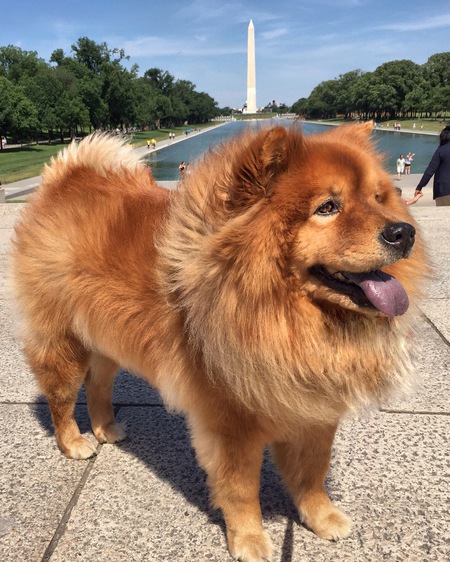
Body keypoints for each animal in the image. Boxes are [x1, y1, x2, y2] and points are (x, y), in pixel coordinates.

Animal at [12, 123, 428, 560]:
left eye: (379, 199)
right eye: (327, 208)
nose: (403, 231)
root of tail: (65, 179)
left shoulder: (314, 411)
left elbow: (313, 473)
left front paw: (322, 518)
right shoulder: (231, 424)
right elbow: (242, 490)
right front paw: (249, 540)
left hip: (109, 340)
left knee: (98, 385)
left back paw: (106, 428)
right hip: (63, 342)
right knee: (61, 397)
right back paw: (74, 442)